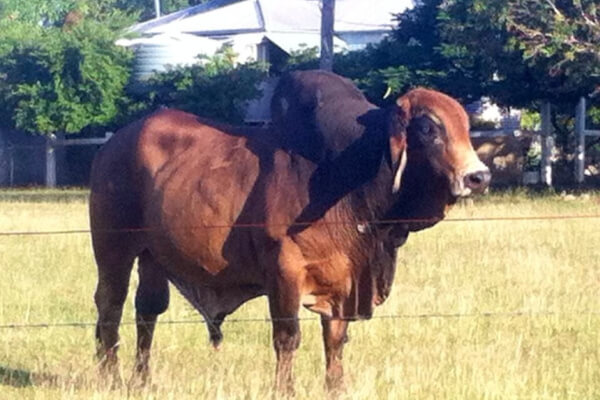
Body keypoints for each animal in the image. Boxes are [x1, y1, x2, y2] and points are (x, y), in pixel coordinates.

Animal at [89, 83, 490, 392]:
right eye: (428, 129)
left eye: (465, 126)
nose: (479, 177)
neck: (347, 178)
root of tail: (116, 142)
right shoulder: (285, 271)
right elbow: (288, 337)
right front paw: (285, 389)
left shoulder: (345, 281)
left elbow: (335, 338)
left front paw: (336, 387)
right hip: (113, 248)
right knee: (110, 306)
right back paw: (111, 378)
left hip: (152, 255)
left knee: (147, 309)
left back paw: (142, 381)